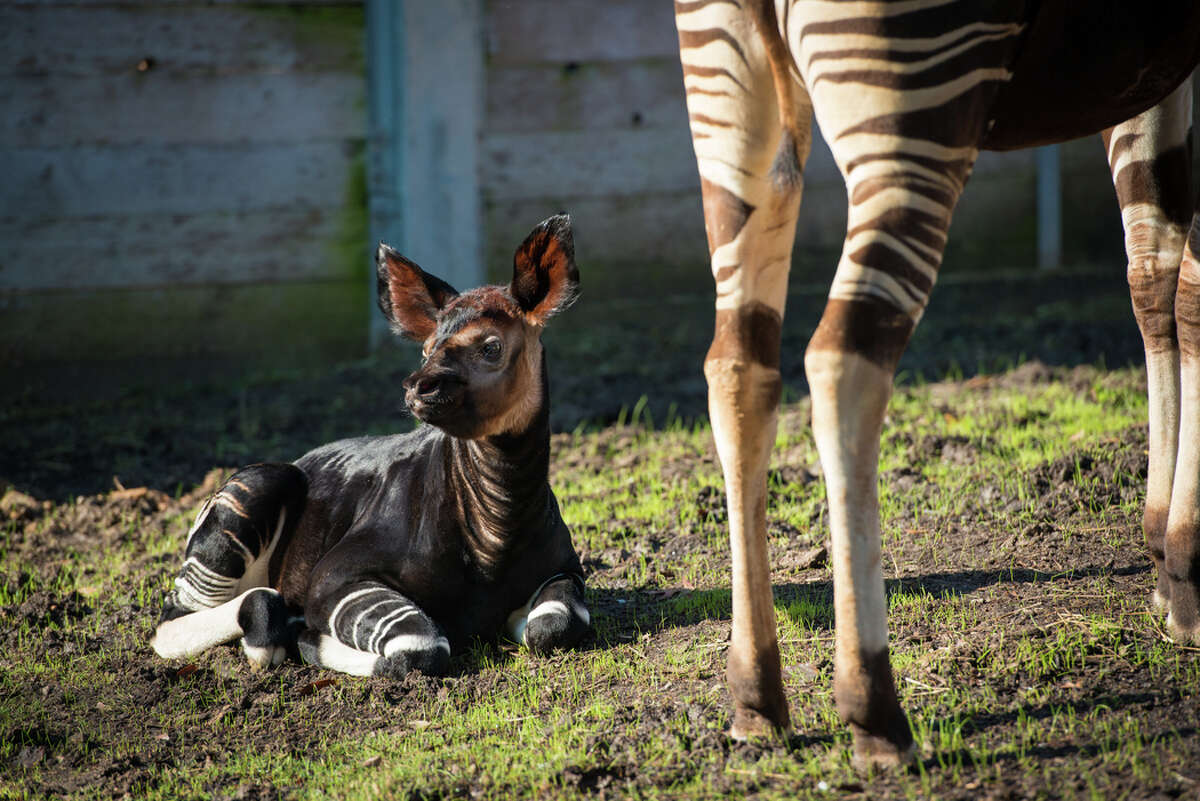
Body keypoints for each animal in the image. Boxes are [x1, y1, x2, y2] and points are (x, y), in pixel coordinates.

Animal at [150, 214, 590, 676]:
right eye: (426, 350)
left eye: (491, 346)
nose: (417, 387)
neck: (496, 530)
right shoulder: (335, 579)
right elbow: (420, 646)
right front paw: (307, 638)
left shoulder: (565, 573)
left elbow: (554, 625)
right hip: (254, 489)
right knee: (173, 618)